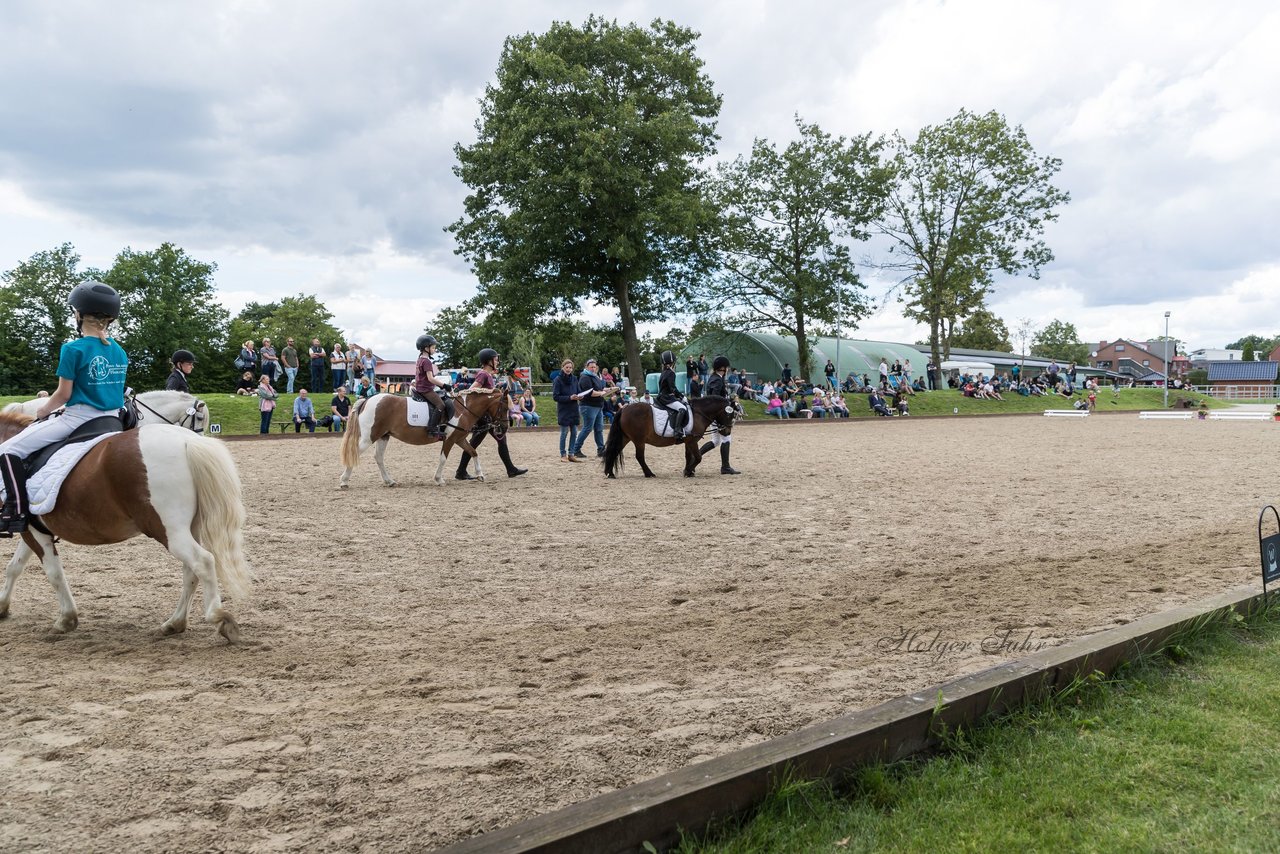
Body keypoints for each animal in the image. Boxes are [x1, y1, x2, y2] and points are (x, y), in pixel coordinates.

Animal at [0, 412, 252, 640]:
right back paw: (175, 623)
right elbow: (15, 567)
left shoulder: (33, 532)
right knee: (191, 571)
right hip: (190, 527)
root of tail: (187, 440)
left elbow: (54, 573)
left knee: (203, 561)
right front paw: (3, 607)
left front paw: (66, 620)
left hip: (168, 530)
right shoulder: (33, 530)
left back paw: (217, 617)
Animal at [345, 386, 514, 486]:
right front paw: (439, 479)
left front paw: (480, 474)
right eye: (505, 407)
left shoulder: (459, 438)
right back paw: (344, 481)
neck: (463, 409)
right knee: (355, 453)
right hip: (369, 437)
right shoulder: (450, 439)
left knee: (378, 457)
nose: (504, 427)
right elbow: (443, 458)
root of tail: (367, 400)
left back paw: (389, 481)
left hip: (383, 436)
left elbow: (473, 451)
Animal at [601, 396, 737, 478]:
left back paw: (610, 473)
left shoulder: (688, 441)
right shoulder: (692, 441)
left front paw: (688, 471)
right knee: (639, 456)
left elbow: (688, 456)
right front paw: (688, 471)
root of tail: (624, 409)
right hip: (639, 440)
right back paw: (649, 473)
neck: (699, 413)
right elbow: (698, 458)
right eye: (730, 415)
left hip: (625, 437)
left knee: (614, 451)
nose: (727, 432)